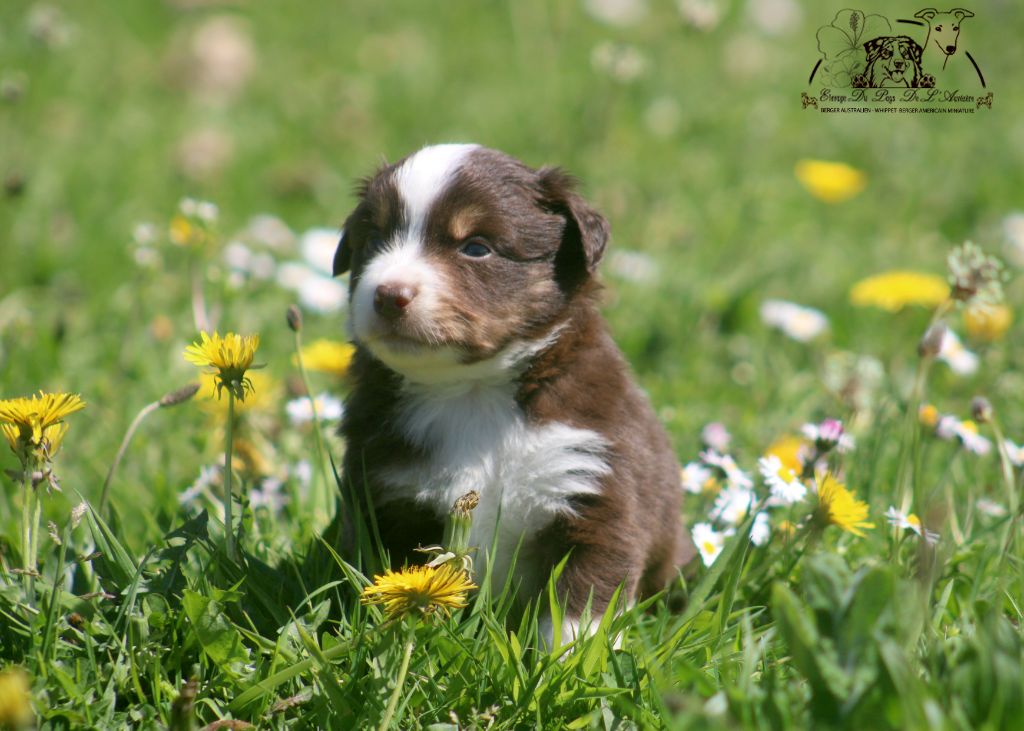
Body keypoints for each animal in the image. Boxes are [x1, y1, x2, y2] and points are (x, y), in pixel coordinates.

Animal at [331, 144, 694, 640]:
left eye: (476, 247)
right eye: (372, 241)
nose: (389, 294)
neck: (473, 392)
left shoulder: (595, 486)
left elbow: (579, 610)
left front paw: (570, 660)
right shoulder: (382, 493)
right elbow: (387, 578)